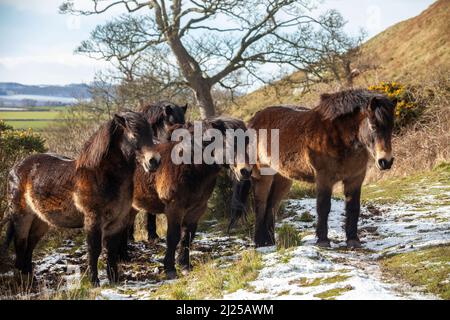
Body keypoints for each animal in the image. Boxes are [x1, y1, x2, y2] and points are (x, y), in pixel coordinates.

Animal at [3, 110, 161, 284]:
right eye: (134, 134)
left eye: (150, 133)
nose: (154, 161)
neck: (101, 175)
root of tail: (15, 169)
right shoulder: (93, 220)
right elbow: (94, 249)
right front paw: (94, 281)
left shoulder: (117, 221)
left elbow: (111, 250)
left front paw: (114, 280)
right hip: (22, 217)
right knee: (21, 245)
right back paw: (22, 280)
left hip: (40, 220)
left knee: (30, 246)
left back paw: (30, 278)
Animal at [126, 117, 253, 278]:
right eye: (227, 143)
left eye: (247, 142)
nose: (246, 171)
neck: (189, 165)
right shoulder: (174, 208)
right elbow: (173, 237)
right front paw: (170, 269)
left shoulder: (197, 209)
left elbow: (187, 236)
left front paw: (185, 265)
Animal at [230, 89, 396, 249]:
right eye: (373, 126)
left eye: (391, 127)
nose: (386, 161)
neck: (339, 137)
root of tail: (252, 122)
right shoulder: (324, 178)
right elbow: (323, 207)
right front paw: (323, 241)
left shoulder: (355, 178)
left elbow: (353, 208)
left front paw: (353, 240)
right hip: (263, 175)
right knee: (261, 204)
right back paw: (259, 242)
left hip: (283, 178)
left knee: (272, 205)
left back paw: (269, 241)